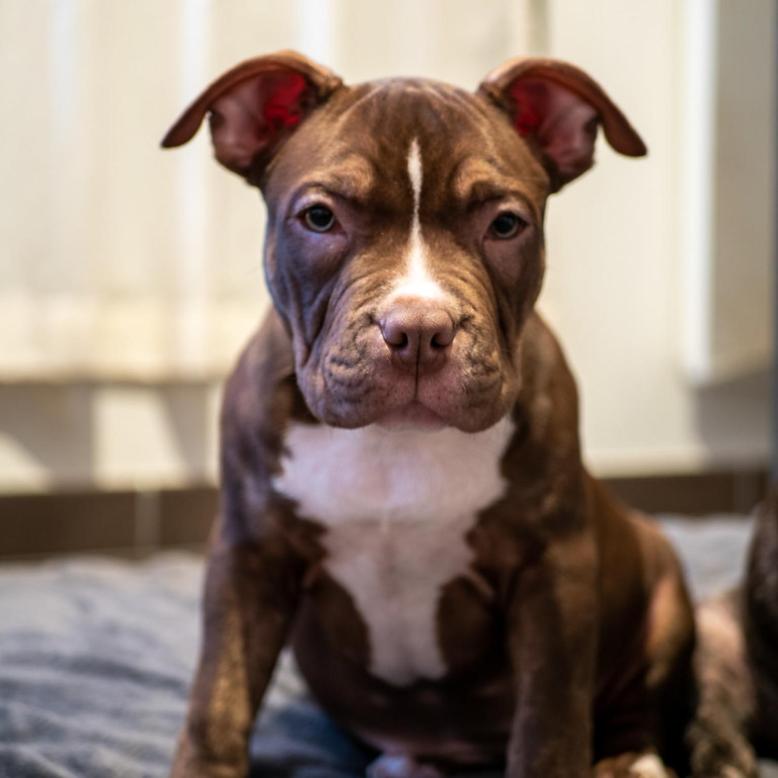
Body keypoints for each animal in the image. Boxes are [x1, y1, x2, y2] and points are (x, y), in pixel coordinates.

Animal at [162, 51, 695, 778]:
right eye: (320, 218)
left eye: (506, 225)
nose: (417, 328)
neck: (395, 445)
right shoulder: (249, 556)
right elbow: (218, 703)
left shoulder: (553, 573)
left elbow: (549, 726)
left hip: (663, 581)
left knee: (635, 706)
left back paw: (633, 761)